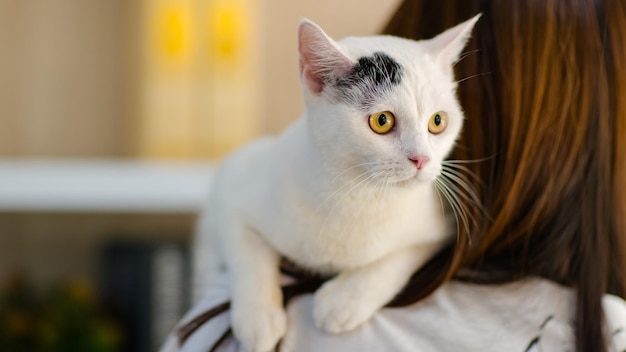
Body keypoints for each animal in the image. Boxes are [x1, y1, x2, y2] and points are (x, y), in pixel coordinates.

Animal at [195, 15, 478, 352]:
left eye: (438, 121)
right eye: (382, 121)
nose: (421, 159)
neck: (359, 194)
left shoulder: (440, 227)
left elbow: (399, 258)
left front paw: (344, 301)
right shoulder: (233, 190)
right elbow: (247, 254)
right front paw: (258, 320)